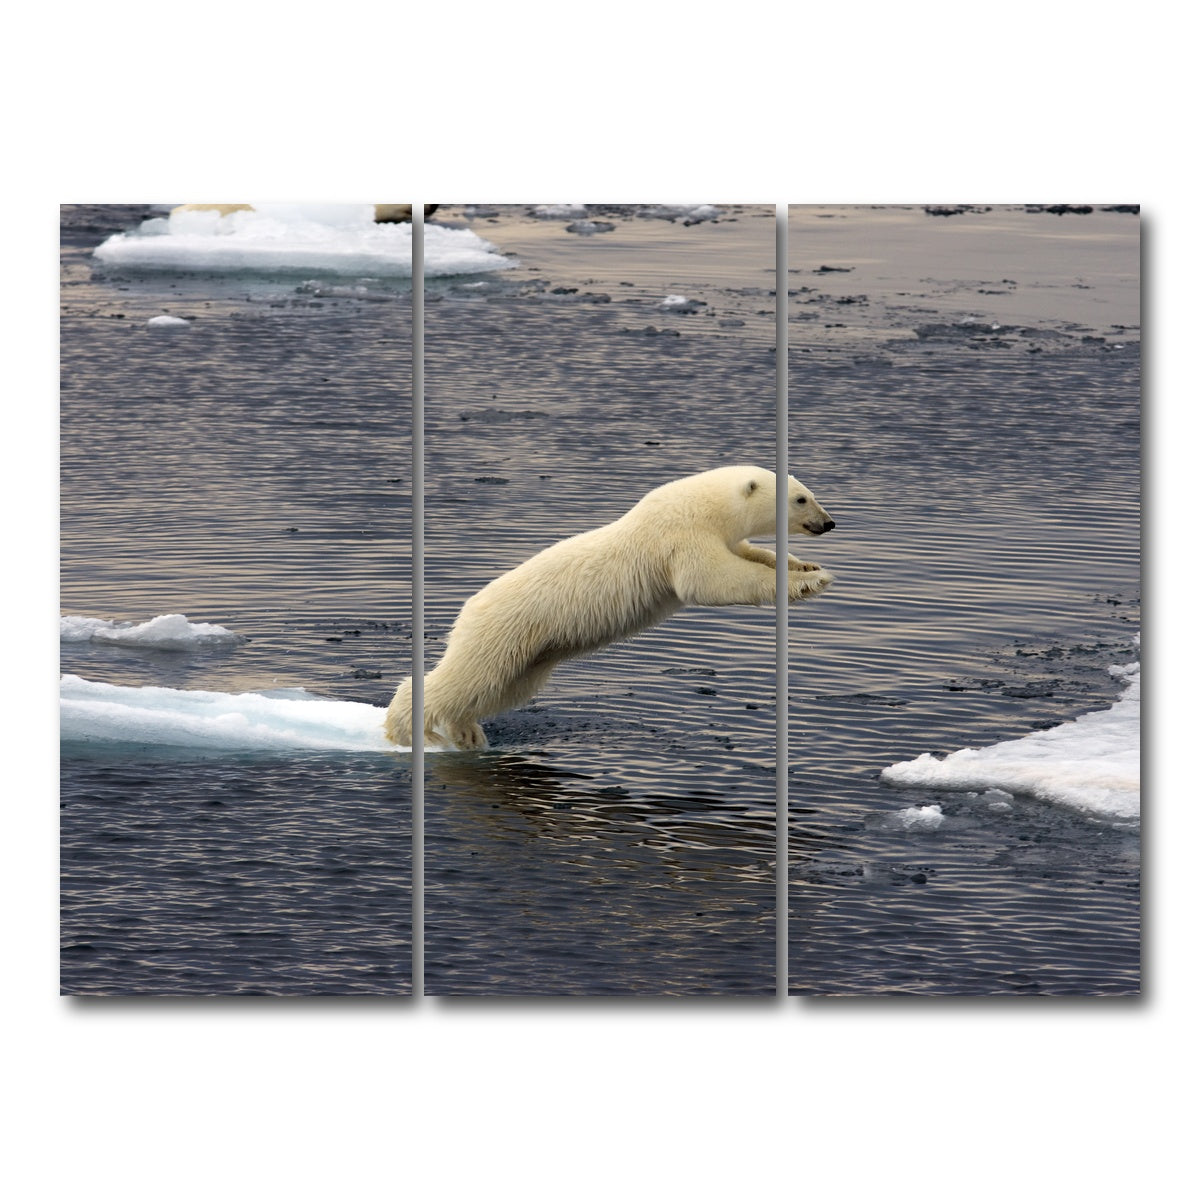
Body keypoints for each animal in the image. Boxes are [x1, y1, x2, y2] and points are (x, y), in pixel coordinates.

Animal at [384, 465, 835, 750]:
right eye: (801, 499)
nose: (829, 523)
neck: (703, 504)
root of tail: (468, 610)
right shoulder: (679, 537)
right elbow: (713, 580)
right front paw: (808, 582)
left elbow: (751, 553)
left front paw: (807, 566)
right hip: (505, 630)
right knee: (468, 677)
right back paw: (411, 733)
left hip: (532, 652)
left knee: (500, 687)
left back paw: (467, 733)